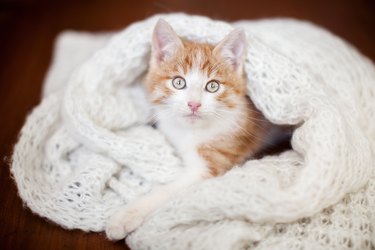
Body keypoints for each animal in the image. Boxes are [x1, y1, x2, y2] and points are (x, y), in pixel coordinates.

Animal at [106, 19, 282, 240]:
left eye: (213, 86)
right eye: (178, 82)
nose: (194, 104)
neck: (190, 131)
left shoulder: (211, 164)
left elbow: (168, 190)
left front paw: (128, 213)